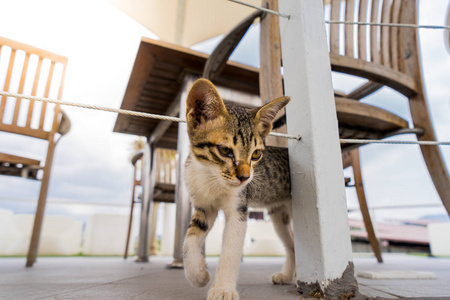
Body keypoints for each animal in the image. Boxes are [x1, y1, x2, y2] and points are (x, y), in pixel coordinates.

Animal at [183, 78, 296, 298]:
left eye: (256, 154)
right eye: (225, 150)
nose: (244, 178)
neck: (210, 177)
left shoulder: (239, 207)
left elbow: (231, 249)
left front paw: (222, 290)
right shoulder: (204, 207)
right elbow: (189, 240)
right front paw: (198, 274)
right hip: (279, 216)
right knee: (293, 245)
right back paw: (287, 276)